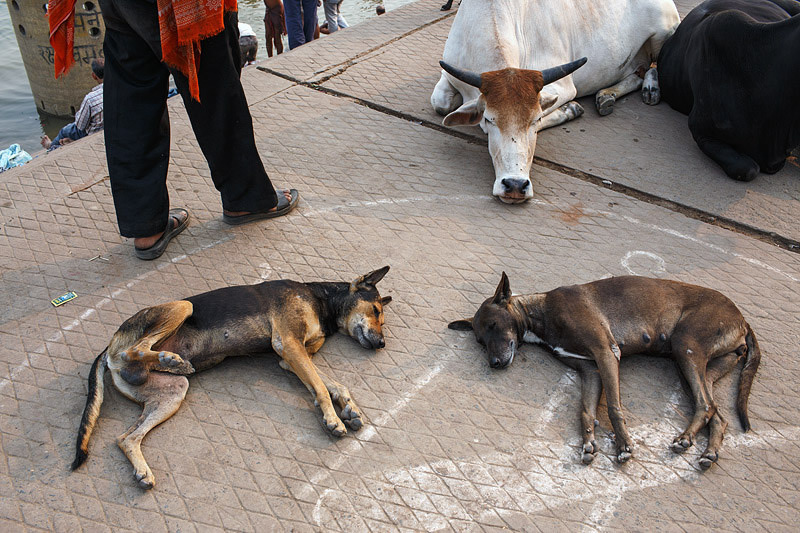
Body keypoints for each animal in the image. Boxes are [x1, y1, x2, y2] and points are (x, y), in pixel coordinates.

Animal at [72, 266, 390, 486]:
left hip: (172, 392)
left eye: (382, 317)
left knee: (125, 438)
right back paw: (168, 358)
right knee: (134, 350)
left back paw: (142, 470)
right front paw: (333, 419)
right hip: (182, 307)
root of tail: (109, 346)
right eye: (375, 310)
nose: (382, 344)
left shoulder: (292, 357)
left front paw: (349, 409)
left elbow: (335, 385)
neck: (321, 300)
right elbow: (322, 389)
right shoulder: (288, 345)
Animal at [432, 0, 680, 204]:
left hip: (664, 33)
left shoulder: (563, 87)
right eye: (489, 119)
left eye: (535, 120)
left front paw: (571, 108)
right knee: (638, 71)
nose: (515, 185)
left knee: (655, 65)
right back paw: (606, 96)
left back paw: (650, 88)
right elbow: (440, 103)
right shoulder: (449, 75)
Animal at [450, 272, 764, 468]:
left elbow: (613, 407)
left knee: (705, 406)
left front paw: (623, 446)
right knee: (716, 413)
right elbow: (586, 411)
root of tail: (742, 319)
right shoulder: (591, 370)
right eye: (480, 341)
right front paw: (588, 443)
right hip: (693, 368)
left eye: (494, 325)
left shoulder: (606, 354)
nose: (494, 363)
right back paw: (708, 453)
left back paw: (686, 439)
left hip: (686, 347)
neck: (542, 312)